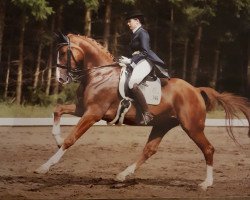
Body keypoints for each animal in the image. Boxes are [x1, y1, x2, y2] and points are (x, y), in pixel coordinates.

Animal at [34, 33, 249, 190]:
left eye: (64, 53)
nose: (61, 79)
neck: (100, 74)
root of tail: (195, 90)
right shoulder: (83, 109)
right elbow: (58, 110)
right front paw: (57, 139)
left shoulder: (93, 113)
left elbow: (72, 139)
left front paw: (45, 166)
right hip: (163, 125)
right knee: (149, 150)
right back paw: (122, 175)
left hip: (192, 127)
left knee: (208, 149)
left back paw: (206, 184)